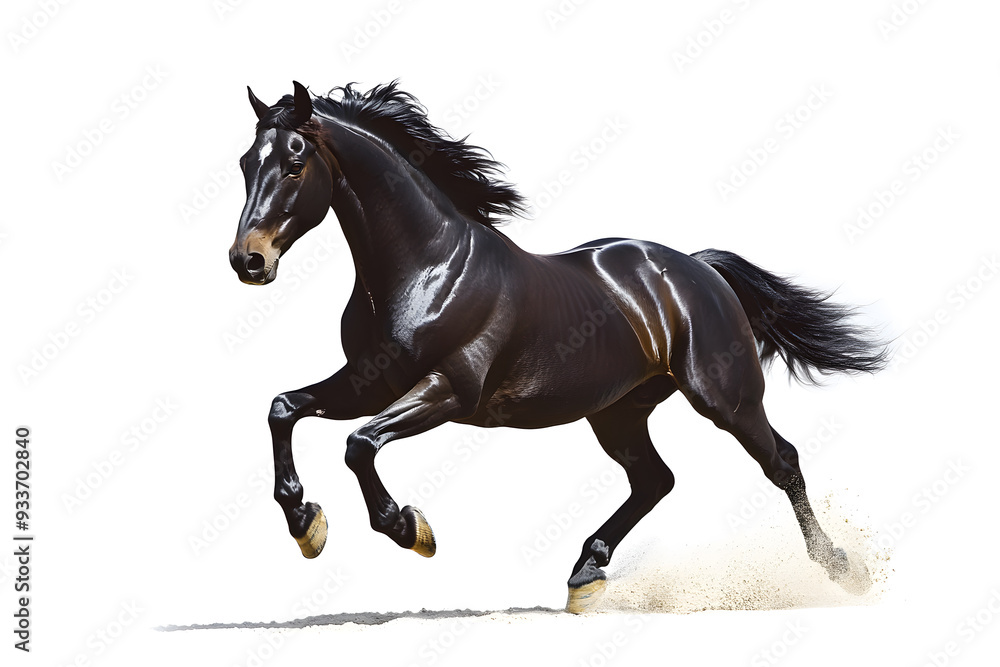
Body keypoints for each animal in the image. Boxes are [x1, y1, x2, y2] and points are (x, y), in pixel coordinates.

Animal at [229, 81, 887, 613]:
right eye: (244, 163)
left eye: (294, 163)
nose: (247, 260)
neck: (426, 268)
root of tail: (697, 269)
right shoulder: (369, 381)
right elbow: (284, 408)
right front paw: (306, 523)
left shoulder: (448, 390)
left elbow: (359, 444)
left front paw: (411, 529)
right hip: (617, 412)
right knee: (656, 480)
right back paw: (585, 575)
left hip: (726, 398)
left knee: (782, 461)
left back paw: (843, 570)